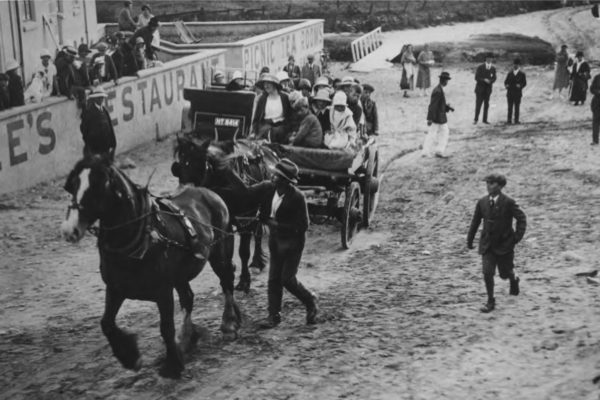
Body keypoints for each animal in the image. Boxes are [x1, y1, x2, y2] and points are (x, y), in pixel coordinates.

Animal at [59, 156, 240, 378]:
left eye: (98, 186)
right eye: (72, 185)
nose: (70, 229)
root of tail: (208, 192)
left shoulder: (163, 291)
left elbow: (166, 328)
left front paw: (172, 365)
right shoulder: (115, 288)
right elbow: (106, 324)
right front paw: (130, 357)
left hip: (220, 253)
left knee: (226, 280)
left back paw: (229, 323)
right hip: (180, 275)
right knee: (188, 297)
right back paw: (187, 338)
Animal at [171, 138, 278, 294]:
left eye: (200, 162)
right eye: (181, 163)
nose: (186, 189)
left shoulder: (245, 219)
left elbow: (243, 251)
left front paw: (244, 281)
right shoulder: (224, 222)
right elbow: (227, 251)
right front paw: (229, 272)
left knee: (258, 232)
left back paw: (257, 262)